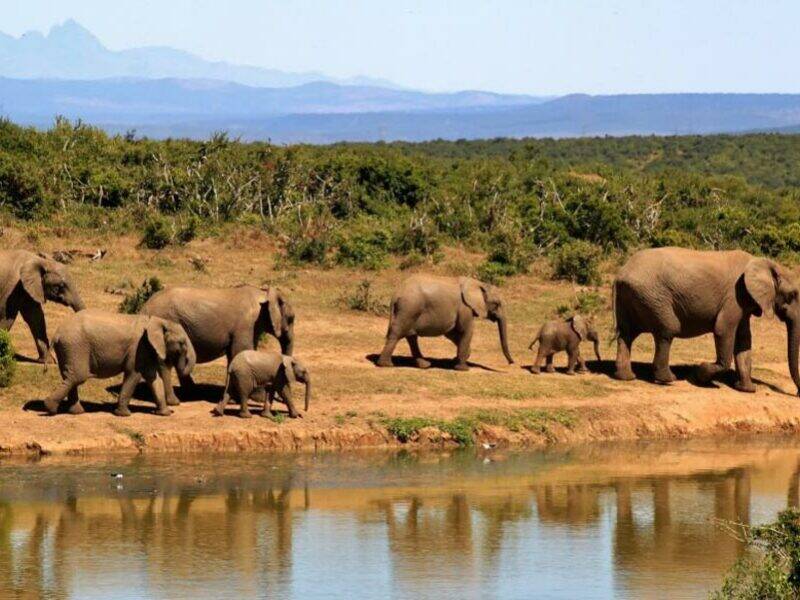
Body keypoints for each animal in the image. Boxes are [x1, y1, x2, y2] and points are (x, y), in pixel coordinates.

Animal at [42, 310, 196, 417]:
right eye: (182, 343)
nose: (175, 409)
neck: (157, 321)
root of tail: (56, 334)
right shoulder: (138, 347)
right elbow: (134, 374)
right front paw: (124, 414)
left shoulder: (145, 349)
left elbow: (153, 378)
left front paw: (165, 413)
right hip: (75, 347)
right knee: (77, 376)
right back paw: (50, 408)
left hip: (68, 349)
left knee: (70, 377)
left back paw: (76, 412)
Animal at [141, 285, 294, 405]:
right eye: (291, 319)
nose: (276, 397)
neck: (263, 293)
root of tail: (145, 307)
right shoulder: (246, 326)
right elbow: (241, 351)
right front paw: (257, 398)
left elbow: (234, 355)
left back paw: (193, 393)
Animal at [376, 275, 514, 371]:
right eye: (497, 304)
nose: (511, 363)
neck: (479, 283)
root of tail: (396, 294)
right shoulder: (465, 308)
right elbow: (466, 330)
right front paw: (463, 368)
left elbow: (452, 333)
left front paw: (456, 360)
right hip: (409, 308)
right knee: (397, 334)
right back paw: (386, 365)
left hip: (409, 311)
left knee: (411, 337)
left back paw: (425, 365)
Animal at [612, 247, 800, 394]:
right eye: (792, 295)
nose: (797, 393)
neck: (765, 263)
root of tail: (620, 274)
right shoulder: (734, 296)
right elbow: (723, 330)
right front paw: (699, 376)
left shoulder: (744, 301)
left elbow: (744, 340)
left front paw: (747, 389)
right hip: (653, 296)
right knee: (667, 330)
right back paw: (668, 379)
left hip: (633, 296)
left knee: (626, 334)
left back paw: (626, 377)